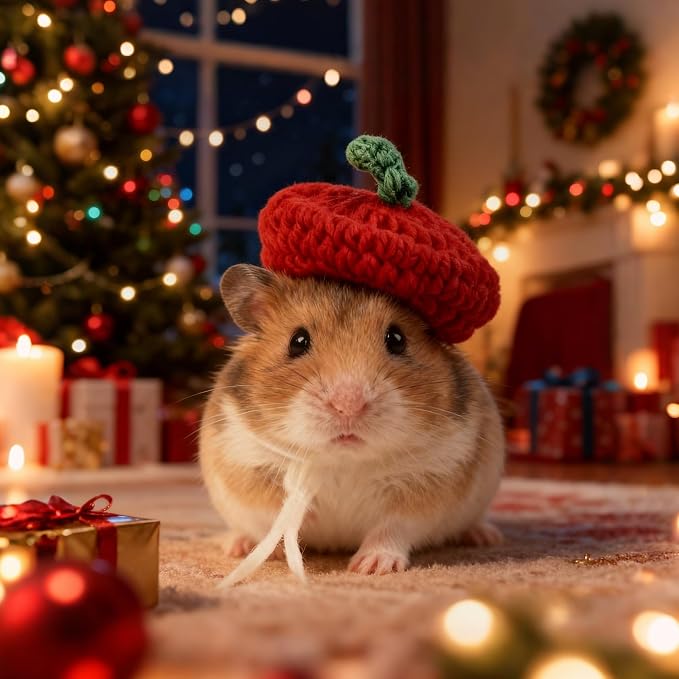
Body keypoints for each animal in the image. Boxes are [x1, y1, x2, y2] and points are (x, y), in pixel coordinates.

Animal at [200, 263, 505, 578]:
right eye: (298, 341)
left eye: (397, 339)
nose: (348, 406)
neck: (343, 460)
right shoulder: (247, 462)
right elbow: (275, 513)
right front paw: (305, 524)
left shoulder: (430, 479)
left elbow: (391, 528)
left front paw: (371, 568)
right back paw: (237, 545)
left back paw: (485, 537)